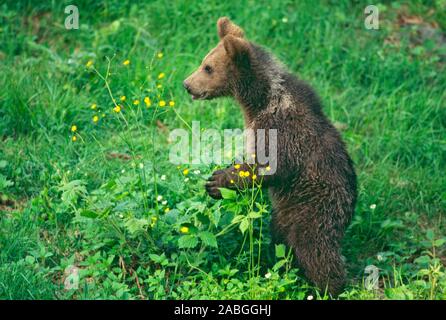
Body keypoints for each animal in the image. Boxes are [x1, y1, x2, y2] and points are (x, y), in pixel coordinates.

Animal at [183, 16, 358, 296]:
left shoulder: (281, 130)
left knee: (316, 250)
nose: (187, 84)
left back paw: (329, 288)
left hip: (314, 209)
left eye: (208, 67)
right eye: (204, 61)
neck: (259, 100)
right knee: (281, 241)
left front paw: (217, 181)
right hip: (284, 213)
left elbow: (271, 166)